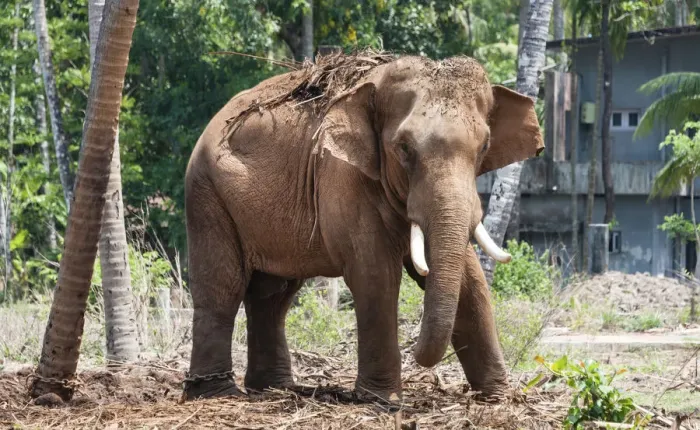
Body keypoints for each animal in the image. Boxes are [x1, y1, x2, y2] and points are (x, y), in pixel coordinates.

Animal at [183, 53, 543, 402]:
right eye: (404, 148)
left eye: (484, 147)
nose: (421, 362)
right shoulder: (343, 177)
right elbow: (375, 273)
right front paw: (383, 399)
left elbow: (471, 281)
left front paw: (498, 396)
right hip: (206, 195)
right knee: (223, 288)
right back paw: (217, 393)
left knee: (273, 295)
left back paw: (275, 388)